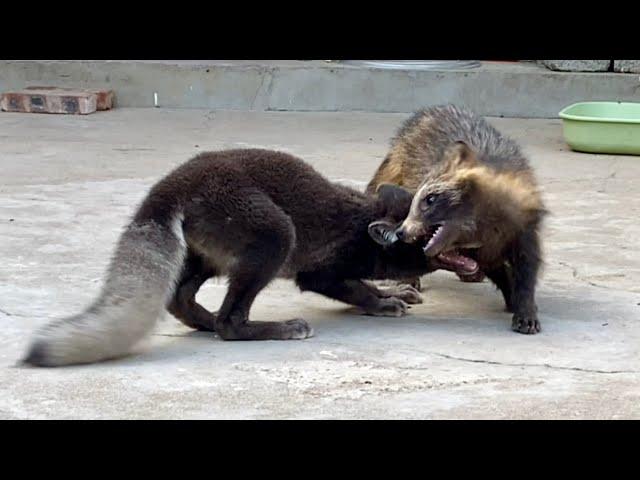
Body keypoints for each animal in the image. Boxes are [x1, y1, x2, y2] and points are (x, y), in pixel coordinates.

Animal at [23, 148, 464, 366]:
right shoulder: (320, 274)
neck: (365, 219)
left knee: (182, 300)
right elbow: (357, 290)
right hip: (273, 237)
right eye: (434, 232)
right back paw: (277, 328)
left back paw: (204, 322)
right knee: (230, 322)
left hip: (208, 256)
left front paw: (394, 291)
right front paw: (384, 301)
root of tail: (169, 187)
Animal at [364, 105, 544, 334]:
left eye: (430, 200)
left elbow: (527, 265)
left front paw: (524, 303)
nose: (402, 232)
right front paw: (511, 290)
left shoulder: (523, 223)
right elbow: (492, 264)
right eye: (415, 203)